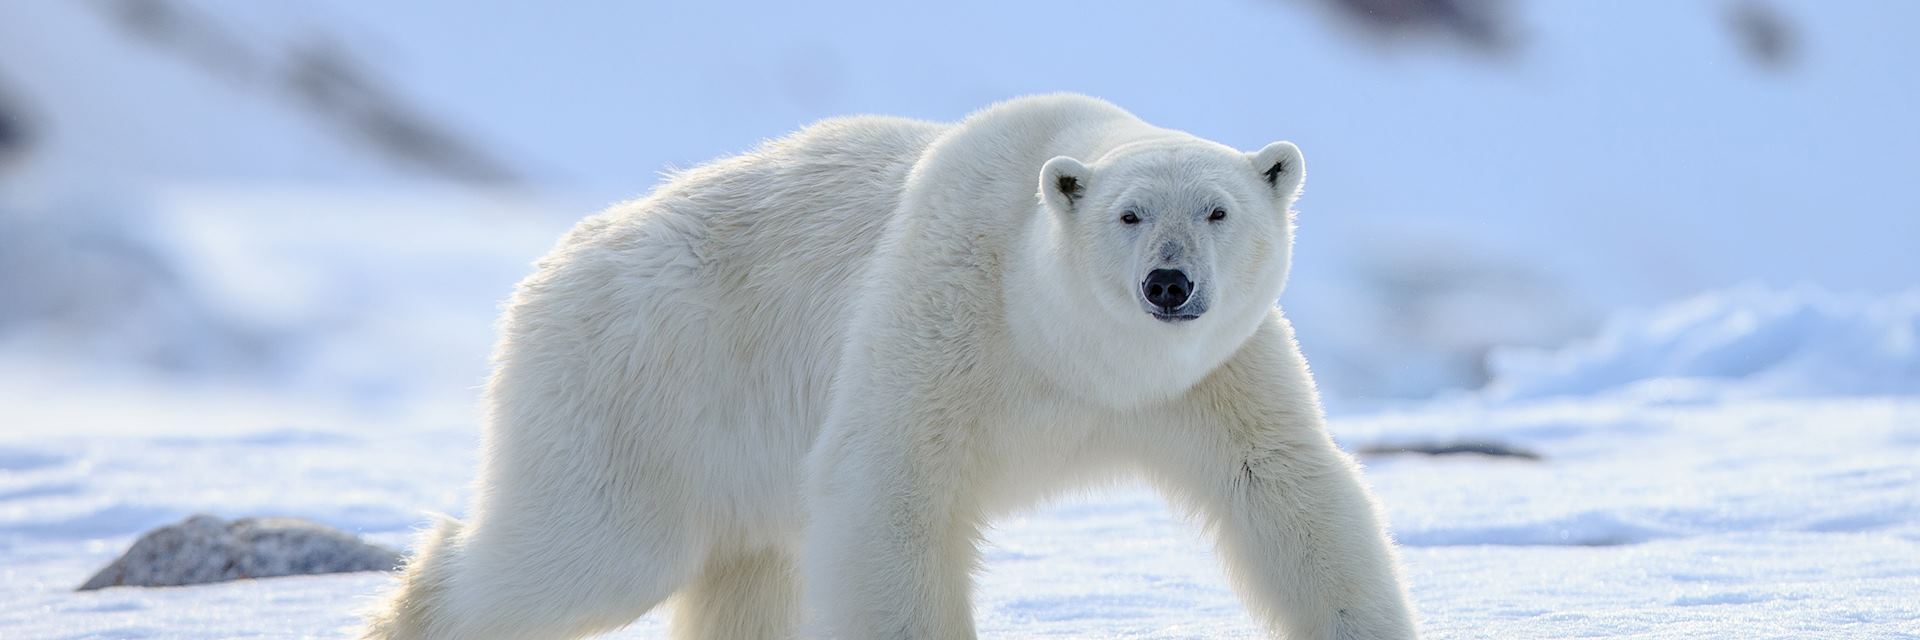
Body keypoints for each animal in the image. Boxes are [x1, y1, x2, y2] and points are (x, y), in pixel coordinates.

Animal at [362, 94, 1413, 638]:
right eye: (1130, 214)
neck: (1073, 354)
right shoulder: (944, 317)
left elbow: (1285, 492)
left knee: (746, 573)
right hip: (640, 389)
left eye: (1217, 210)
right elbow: (890, 493)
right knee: (588, 551)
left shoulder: (1211, 376)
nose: (1168, 284)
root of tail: (551, 269)